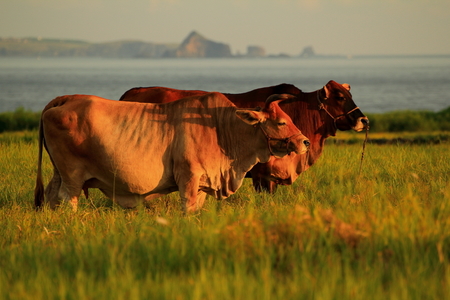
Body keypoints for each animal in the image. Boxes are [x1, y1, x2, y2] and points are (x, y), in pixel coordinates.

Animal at [34, 92, 310, 212]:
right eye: (281, 122)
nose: (305, 141)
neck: (221, 128)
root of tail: (65, 99)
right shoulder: (188, 178)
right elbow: (187, 209)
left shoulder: (203, 184)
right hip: (71, 175)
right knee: (67, 199)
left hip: (58, 172)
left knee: (51, 195)